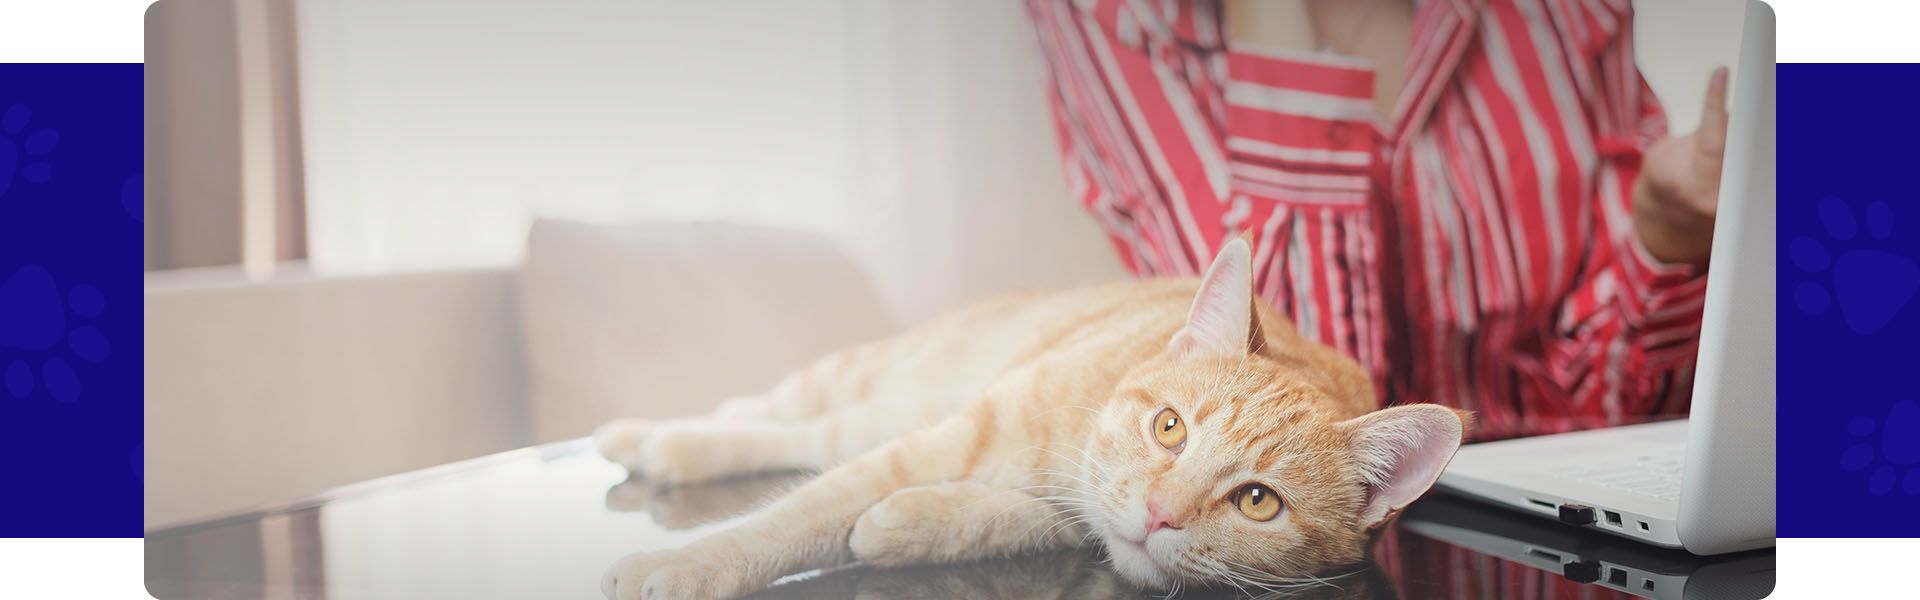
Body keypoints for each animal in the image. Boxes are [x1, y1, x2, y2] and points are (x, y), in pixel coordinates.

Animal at [599, 239, 1466, 600]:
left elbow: (1003, 520)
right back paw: (655, 440)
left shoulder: (1047, 504)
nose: (1161, 513)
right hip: (882, 382)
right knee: (776, 420)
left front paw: (909, 524)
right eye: (1170, 428)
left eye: (1258, 501)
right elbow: (793, 517)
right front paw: (682, 566)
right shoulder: (941, 440)